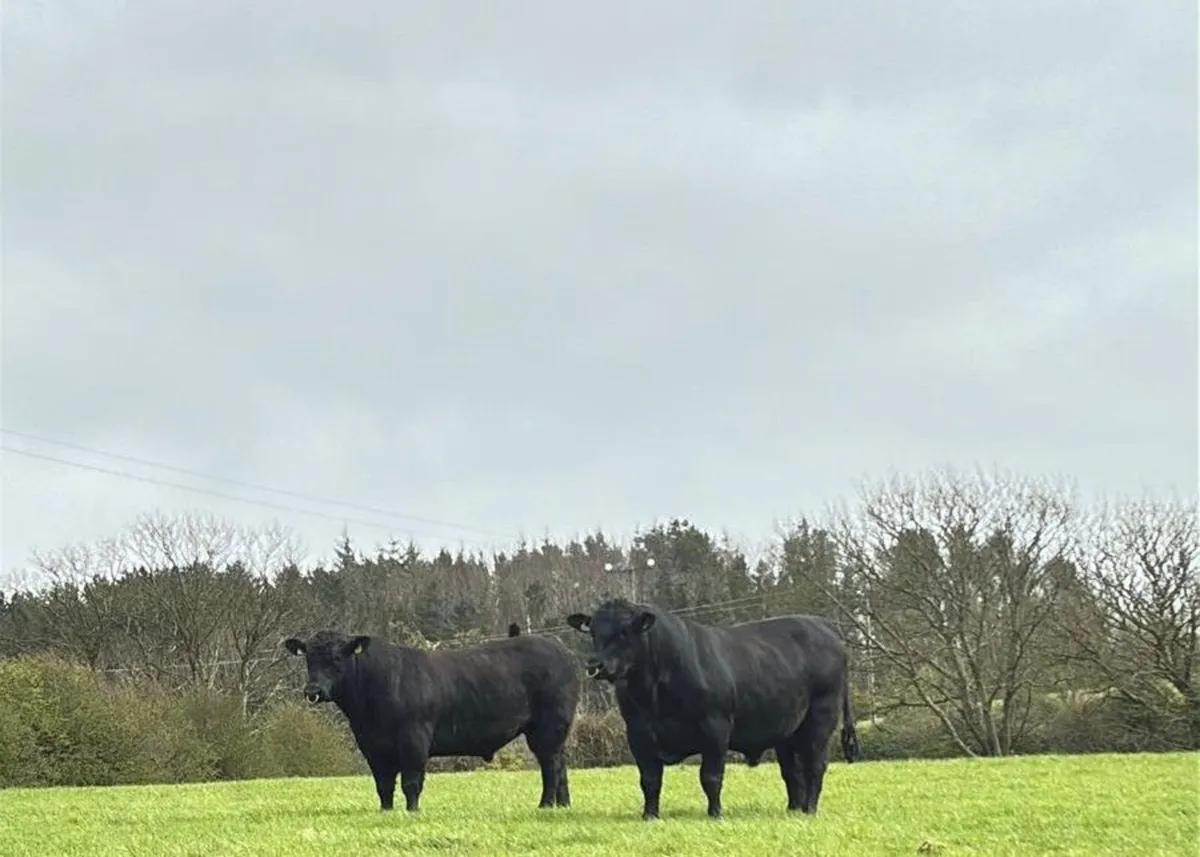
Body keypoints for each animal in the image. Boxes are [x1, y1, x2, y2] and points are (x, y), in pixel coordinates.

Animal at [282, 628, 580, 813]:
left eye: (336, 658)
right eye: (308, 658)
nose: (313, 690)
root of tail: (561, 650)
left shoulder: (413, 738)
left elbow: (411, 781)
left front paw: (412, 811)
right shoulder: (372, 746)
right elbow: (383, 785)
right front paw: (385, 812)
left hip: (547, 727)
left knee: (551, 765)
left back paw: (545, 805)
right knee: (560, 764)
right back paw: (563, 805)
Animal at [566, 598, 859, 820]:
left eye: (624, 632)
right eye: (593, 632)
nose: (595, 665)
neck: (654, 692)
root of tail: (825, 628)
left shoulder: (715, 727)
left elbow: (710, 776)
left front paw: (715, 813)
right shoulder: (638, 733)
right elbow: (649, 779)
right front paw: (649, 815)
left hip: (821, 718)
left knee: (815, 764)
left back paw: (809, 809)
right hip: (787, 730)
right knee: (792, 772)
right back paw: (793, 809)